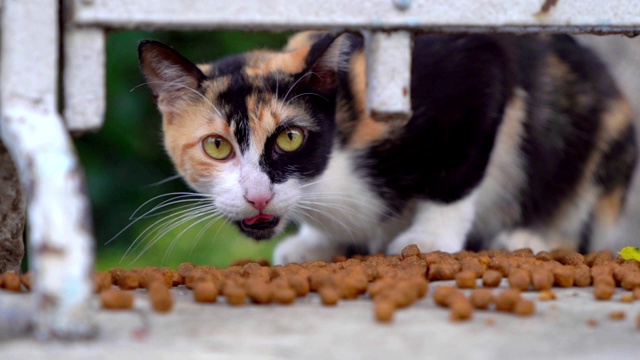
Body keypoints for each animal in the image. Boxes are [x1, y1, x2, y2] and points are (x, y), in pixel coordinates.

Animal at [139, 31, 636, 264]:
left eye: (290, 137)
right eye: (216, 146)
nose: (257, 196)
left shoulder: (473, 67)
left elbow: (456, 171)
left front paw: (429, 239)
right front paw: (315, 243)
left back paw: (529, 238)